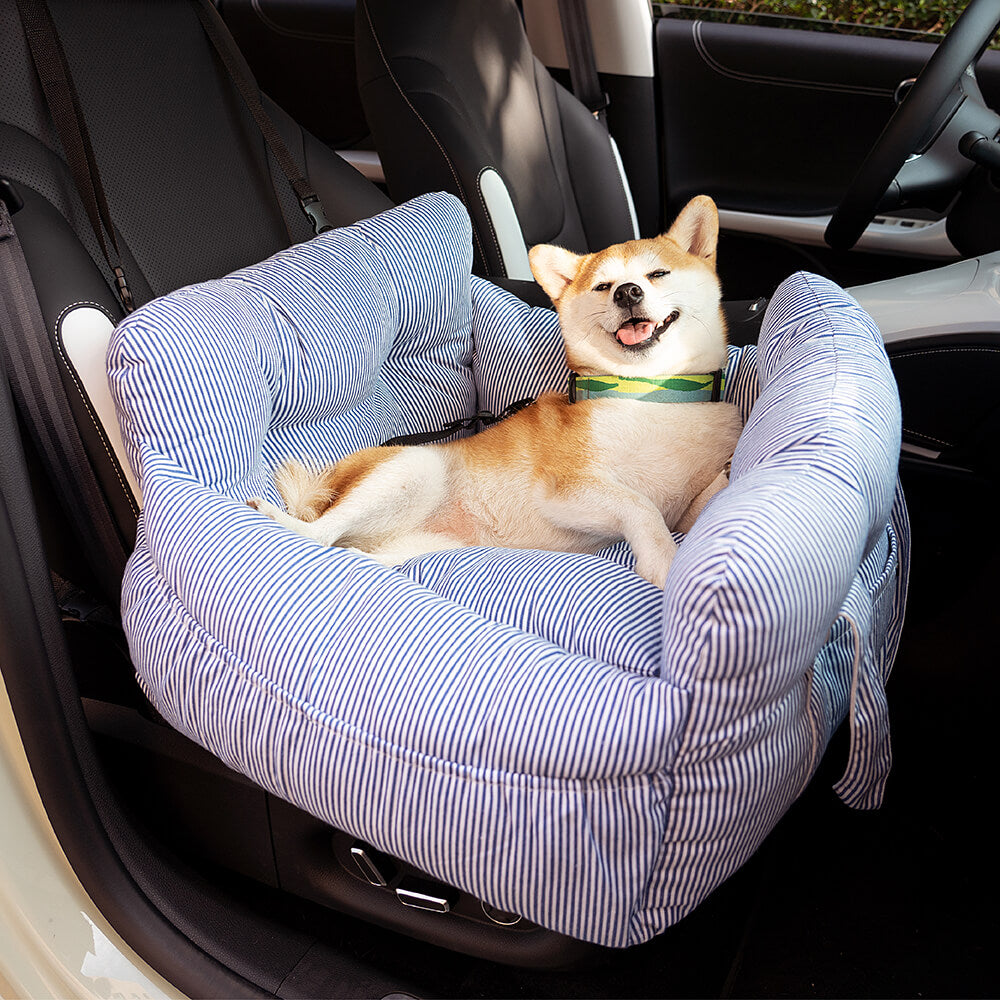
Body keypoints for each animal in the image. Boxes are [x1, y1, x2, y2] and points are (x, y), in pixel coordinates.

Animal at [252, 195, 744, 584]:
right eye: (603, 286)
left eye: (658, 274)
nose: (626, 292)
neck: (656, 392)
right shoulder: (568, 488)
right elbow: (639, 505)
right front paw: (663, 560)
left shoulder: (685, 509)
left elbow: (707, 497)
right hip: (412, 468)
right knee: (316, 533)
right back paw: (281, 519)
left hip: (414, 547)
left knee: (348, 553)